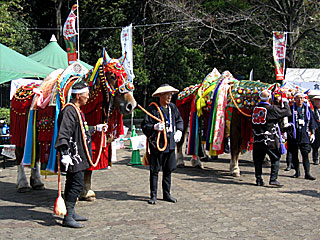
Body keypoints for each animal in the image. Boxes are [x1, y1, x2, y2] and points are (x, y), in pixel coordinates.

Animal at [10, 47, 136, 198]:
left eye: (126, 75)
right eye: (112, 76)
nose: (131, 105)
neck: (89, 104)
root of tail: (21, 89)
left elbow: (89, 165)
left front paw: (86, 191)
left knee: (36, 157)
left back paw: (37, 182)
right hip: (22, 134)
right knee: (20, 156)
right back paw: (23, 184)